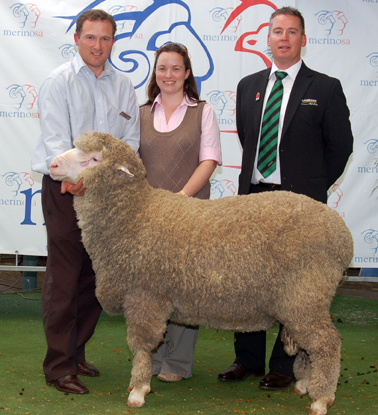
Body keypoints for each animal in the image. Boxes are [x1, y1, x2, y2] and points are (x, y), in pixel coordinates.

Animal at [50, 132, 354, 415]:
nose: (52, 164)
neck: (135, 213)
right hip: (302, 301)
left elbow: (141, 345)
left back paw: (321, 399)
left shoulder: (144, 295)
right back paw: (304, 385)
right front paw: (142, 384)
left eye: (94, 159)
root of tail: (342, 235)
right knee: (309, 347)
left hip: (305, 295)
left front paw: (138, 390)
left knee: (326, 344)